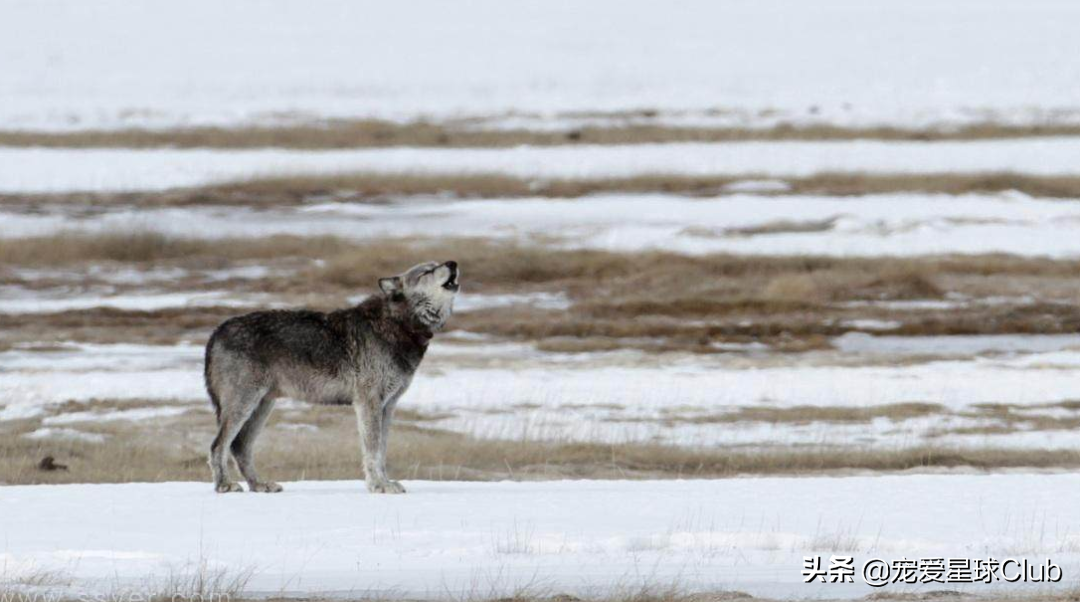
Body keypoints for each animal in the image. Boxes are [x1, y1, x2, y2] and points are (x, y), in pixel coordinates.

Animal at [204, 259, 457, 492]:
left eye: (438, 264)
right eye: (427, 271)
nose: (453, 263)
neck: (398, 324)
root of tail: (217, 331)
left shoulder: (389, 405)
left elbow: (382, 451)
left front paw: (384, 483)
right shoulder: (369, 403)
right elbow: (373, 450)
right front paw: (378, 486)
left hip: (262, 407)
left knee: (240, 446)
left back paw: (259, 485)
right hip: (243, 405)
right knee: (218, 445)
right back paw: (225, 485)